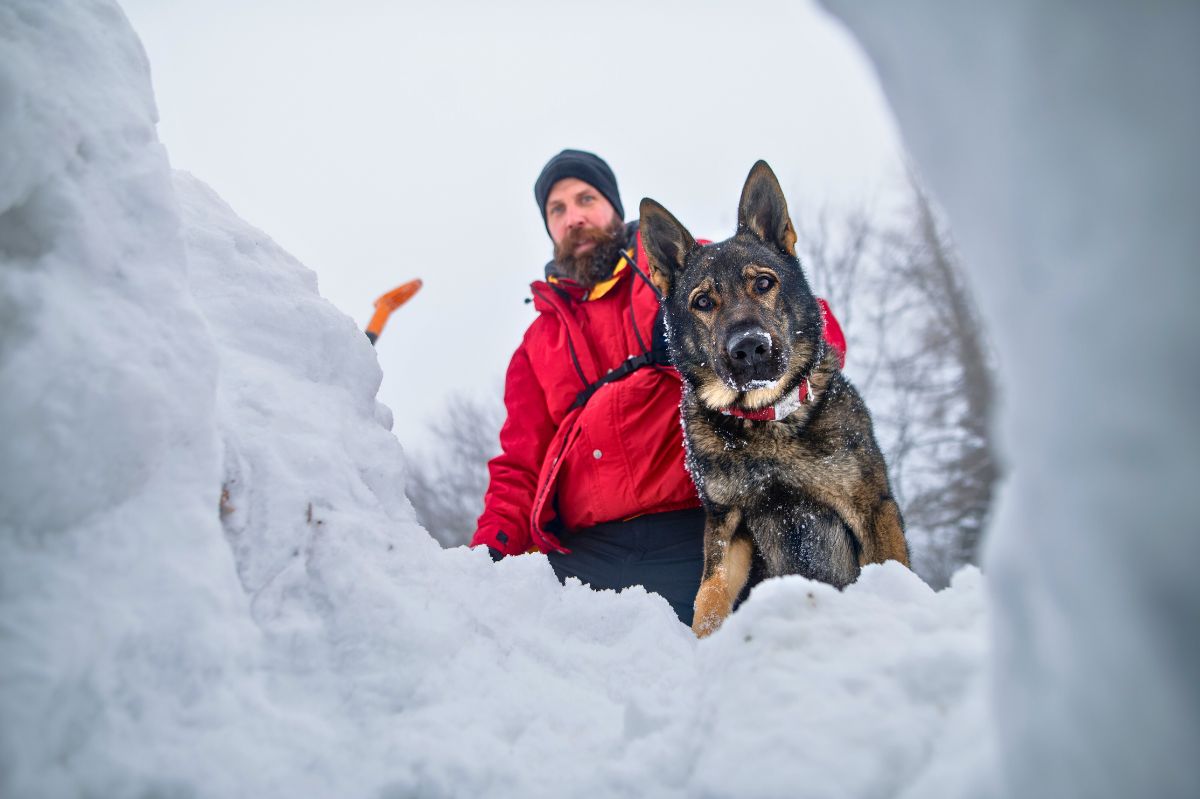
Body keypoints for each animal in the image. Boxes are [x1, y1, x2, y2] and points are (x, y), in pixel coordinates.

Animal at [643, 160, 902, 633]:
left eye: (764, 283)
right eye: (703, 302)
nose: (749, 348)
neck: (765, 420)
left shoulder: (873, 509)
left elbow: (895, 571)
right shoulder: (727, 524)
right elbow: (709, 597)